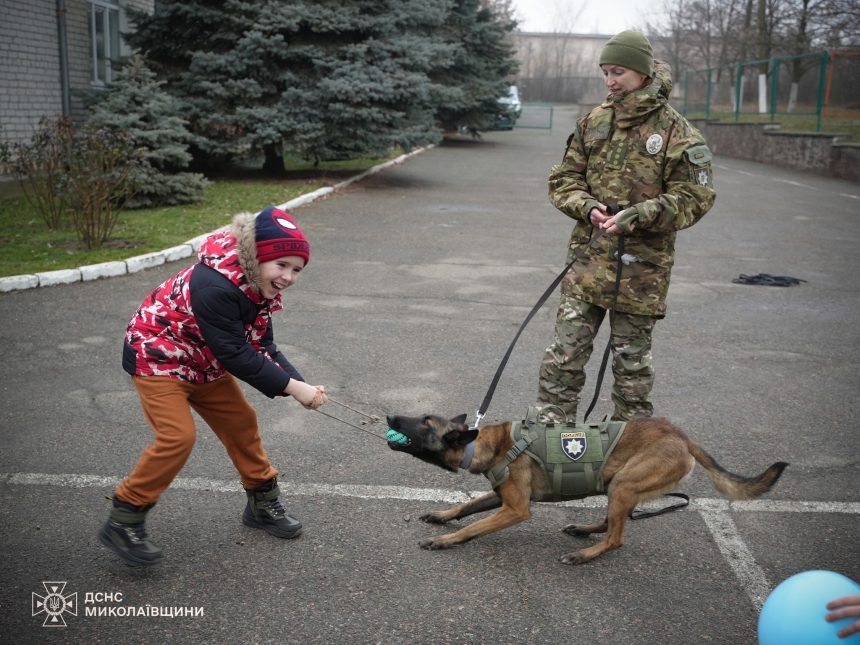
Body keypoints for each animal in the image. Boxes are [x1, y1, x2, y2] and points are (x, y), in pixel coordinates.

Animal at [388, 412, 788, 564]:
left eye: (424, 423)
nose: (390, 416)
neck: (489, 444)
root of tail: (682, 436)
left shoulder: (515, 509)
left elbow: (472, 527)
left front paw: (444, 541)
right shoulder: (501, 497)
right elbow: (466, 508)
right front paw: (442, 517)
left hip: (625, 484)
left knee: (617, 537)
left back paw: (584, 554)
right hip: (618, 485)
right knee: (613, 520)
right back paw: (583, 530)